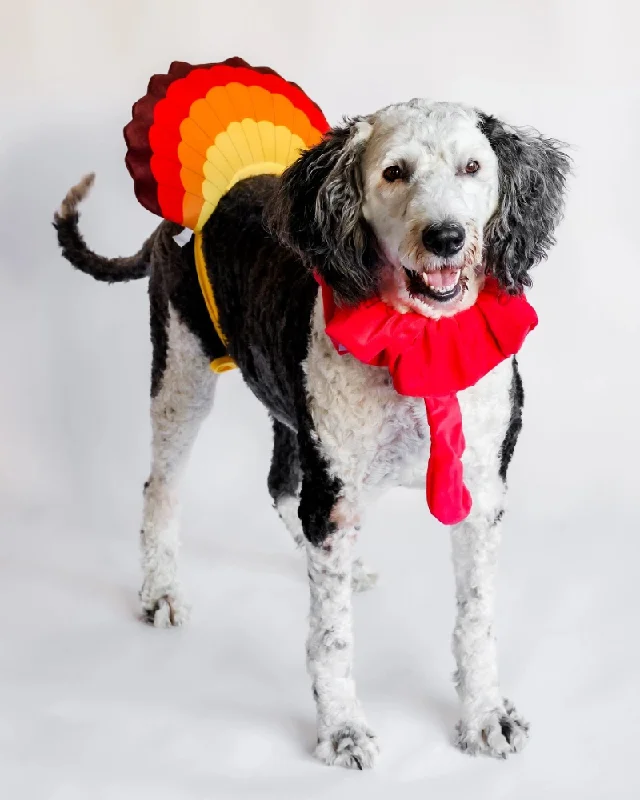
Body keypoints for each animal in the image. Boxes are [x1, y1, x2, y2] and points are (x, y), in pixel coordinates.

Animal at [52, 98, 568, 768]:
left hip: (288, 411)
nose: (446, 236)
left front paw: (484, 716)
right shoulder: (336, 495)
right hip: (183, 376)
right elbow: (331, 637)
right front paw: (342, 728)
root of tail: (173, 221)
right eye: (394, 172)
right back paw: (160, 590)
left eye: (473, 167)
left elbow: (475, 622)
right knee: (161, 488)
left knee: (280, 486)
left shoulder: (479, 494)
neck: (419, 339)